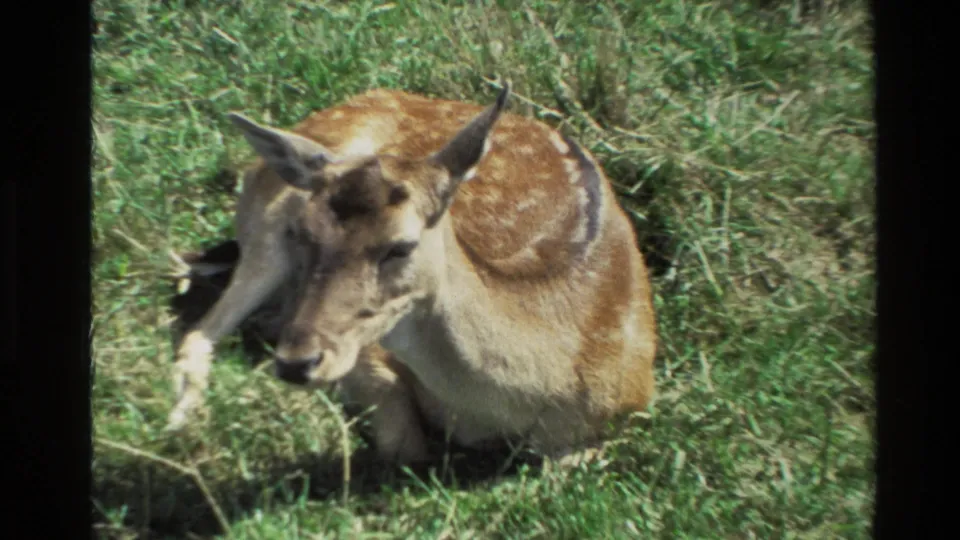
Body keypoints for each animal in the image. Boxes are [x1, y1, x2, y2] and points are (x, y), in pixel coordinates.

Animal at [165, 82, 657, 466]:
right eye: (301, 231)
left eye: (401, 245)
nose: (296, 362)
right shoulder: (370, 348)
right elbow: (406, 446)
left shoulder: (624, 409)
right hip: (266, 227)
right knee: (198, 332)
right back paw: (183, 421)